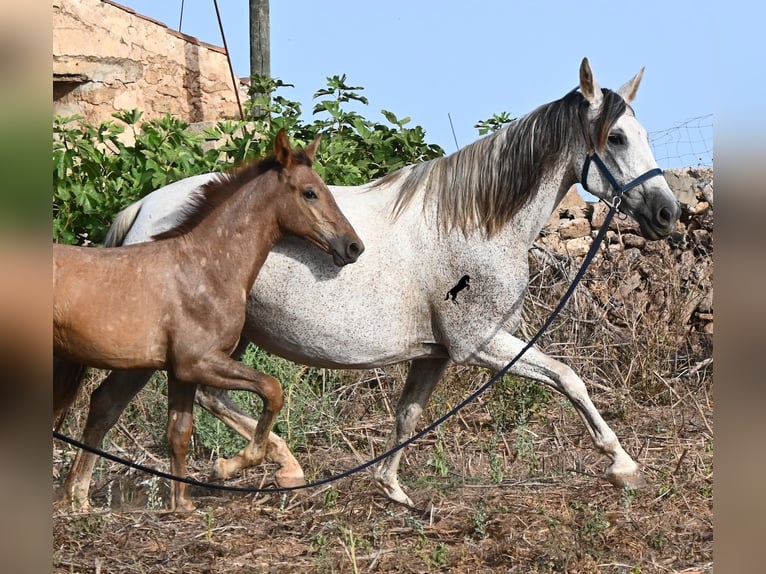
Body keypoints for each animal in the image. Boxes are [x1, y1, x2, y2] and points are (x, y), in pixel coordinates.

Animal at [53, 129, 364, 511]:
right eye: (310, 192)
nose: (353, 246)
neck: (205, 266)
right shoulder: (198, 362)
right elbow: (272, 389)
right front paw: (230, 465)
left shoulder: (179, 371)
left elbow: (179, 431)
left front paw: (182, 504)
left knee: (102, 407)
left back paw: (77, 499)